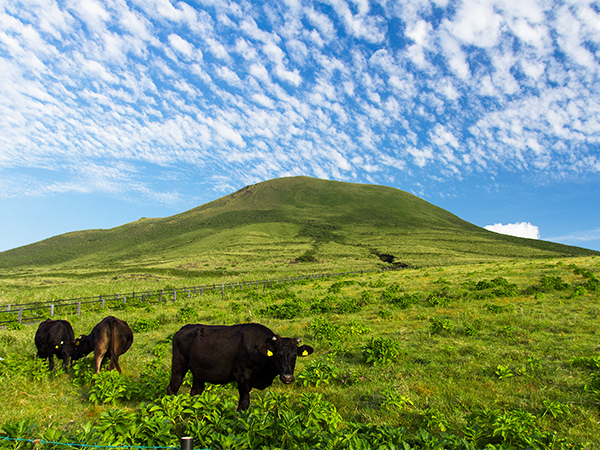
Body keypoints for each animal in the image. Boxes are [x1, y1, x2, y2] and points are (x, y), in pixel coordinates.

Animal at [165, 322, 314, 410]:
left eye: (294, 356)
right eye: (277, 355)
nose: (287, 377)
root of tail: (183, 329)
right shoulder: (242, 376)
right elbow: (244, 403)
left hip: (198, 373)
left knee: (195, 392)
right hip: (178, 366)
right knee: (173, 388)